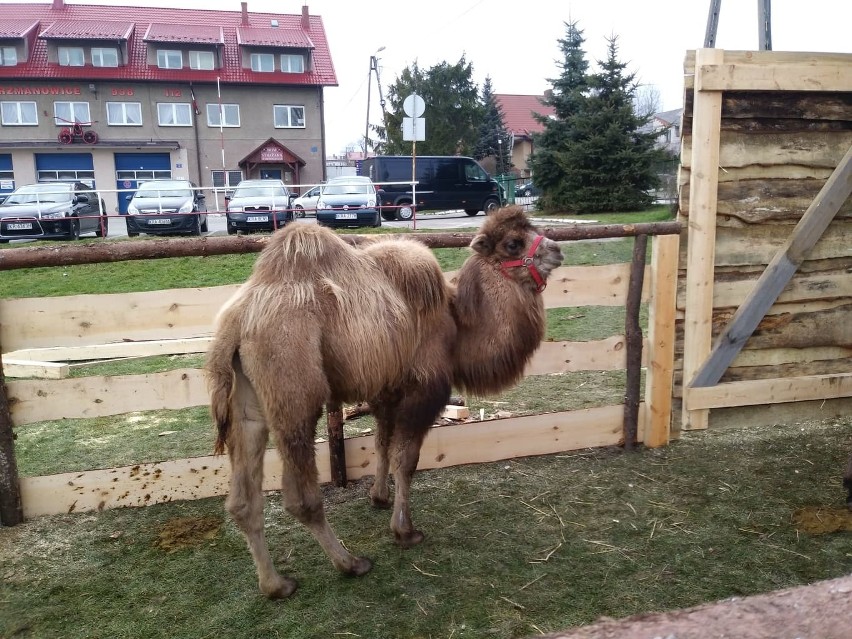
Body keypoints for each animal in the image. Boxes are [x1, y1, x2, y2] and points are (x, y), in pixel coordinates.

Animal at [205, 206, 564, 600]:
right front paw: (405, 531)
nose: (557, 249)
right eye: (513, 243)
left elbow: (381, 443)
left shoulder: (386, 387)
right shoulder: (425, 388)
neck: (457, 323)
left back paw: (276, 585)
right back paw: (350, 563)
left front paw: (378, 497)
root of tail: (236, 324)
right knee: (301, 496)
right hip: (294, 389)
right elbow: (406, 460)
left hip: (247, 400)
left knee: (243, 498)